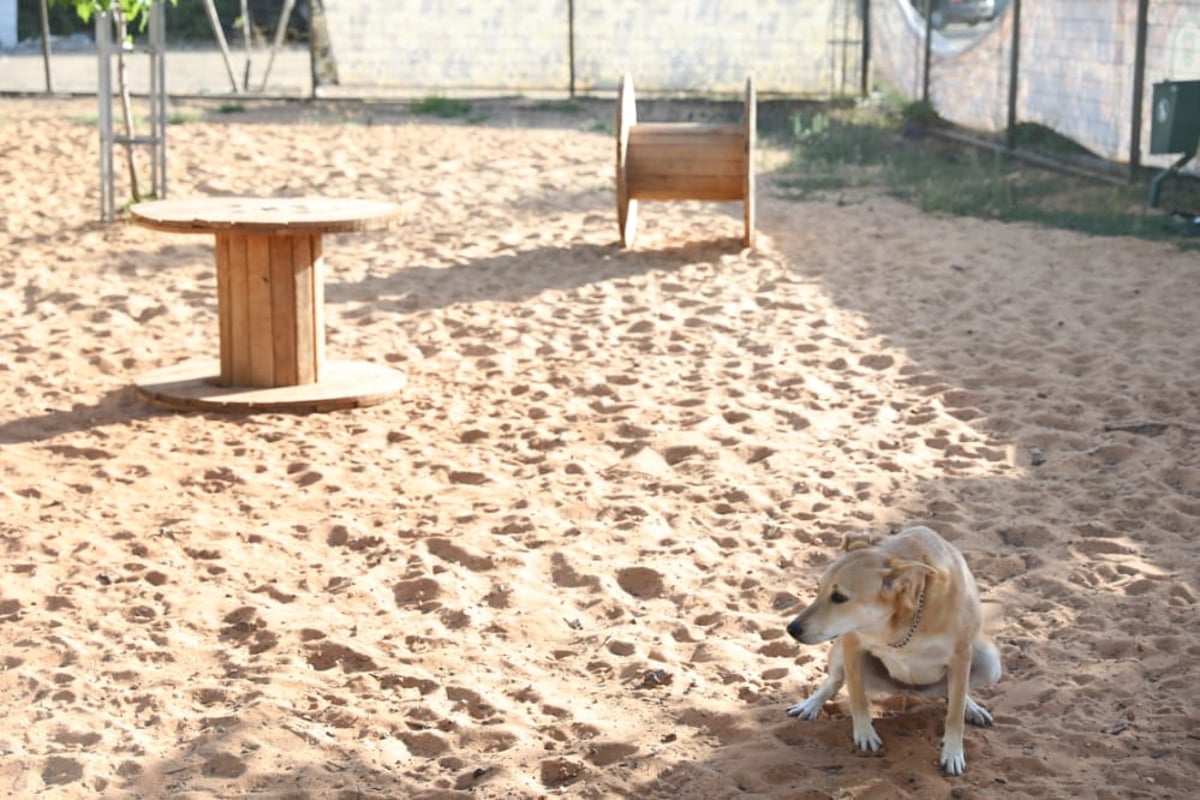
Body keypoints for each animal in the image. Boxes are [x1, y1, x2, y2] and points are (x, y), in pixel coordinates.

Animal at [787, 525, 1003, 777]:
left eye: (839, 597)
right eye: (818, 589)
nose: (791, 629)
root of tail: (910, 691)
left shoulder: (961, 655)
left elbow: (955, 715)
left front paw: (952, 753)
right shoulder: (852, 643)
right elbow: (857, 697)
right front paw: (865, 734)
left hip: (989, 662)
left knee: (954, 693)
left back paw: (971, 706)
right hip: (841, 653)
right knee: (836, 680)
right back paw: (810, 704)